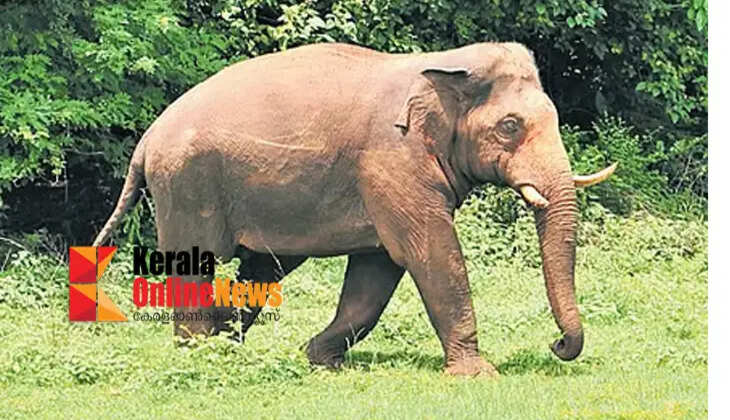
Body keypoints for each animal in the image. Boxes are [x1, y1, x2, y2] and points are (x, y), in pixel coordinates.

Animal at [93, 42, 615, 376]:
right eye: (510, 126)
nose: (557, 345)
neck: (441, 64)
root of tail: (147, 139)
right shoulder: (392, 160)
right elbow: (430, 253)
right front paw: (479, 375)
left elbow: (377, 271)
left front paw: (317, 359)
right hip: (186, 184)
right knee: (196, 263)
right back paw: (201, 354)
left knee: (263, 268)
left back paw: (229, 344)